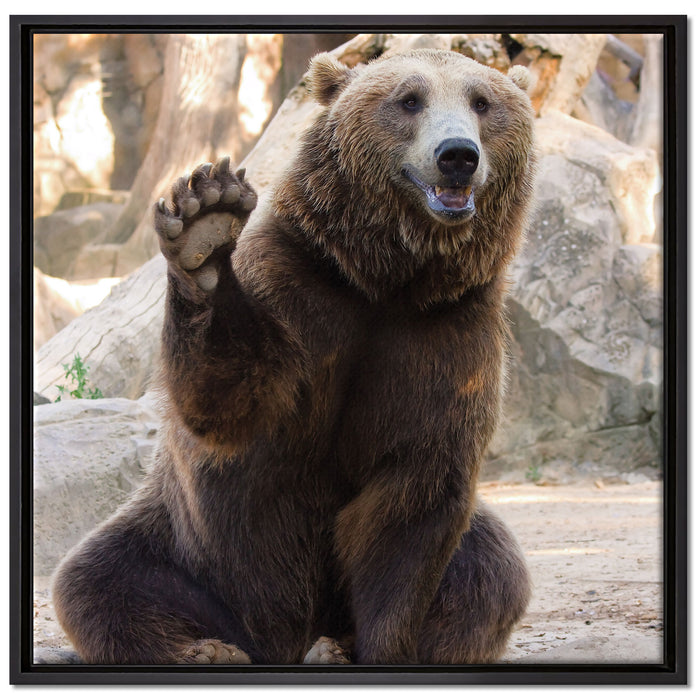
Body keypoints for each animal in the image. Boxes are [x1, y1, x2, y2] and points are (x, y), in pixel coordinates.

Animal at [51, 48, 536, 666]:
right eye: (409, 99)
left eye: (483, 102)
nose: (457, 156)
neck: (386, 280)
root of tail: (277, 639)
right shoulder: (298, 290)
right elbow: (230, 400)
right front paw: (205, 224)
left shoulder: (447, 336)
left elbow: (413, 503)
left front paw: (380, 647)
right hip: (186, 550)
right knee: (99, 579)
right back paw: (209, 650)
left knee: (491, 571)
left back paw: (331, 645)